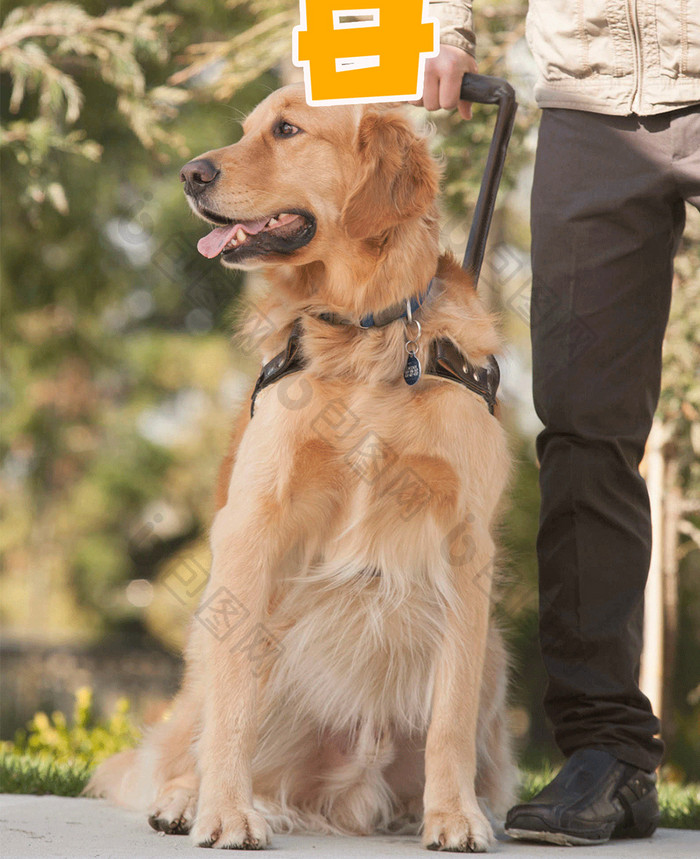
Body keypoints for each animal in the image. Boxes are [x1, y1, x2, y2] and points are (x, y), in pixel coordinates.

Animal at [86, 84, 516, 848]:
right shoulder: (253, 522)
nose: (189, 174)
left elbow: (452, 714)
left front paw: (454, 814)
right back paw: (185, 799)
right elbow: (233, 706)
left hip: (496, 654)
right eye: (247, 129)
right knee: (193, 733)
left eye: (288, 130)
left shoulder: (466, 540)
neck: (365, 335)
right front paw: (226, 812)